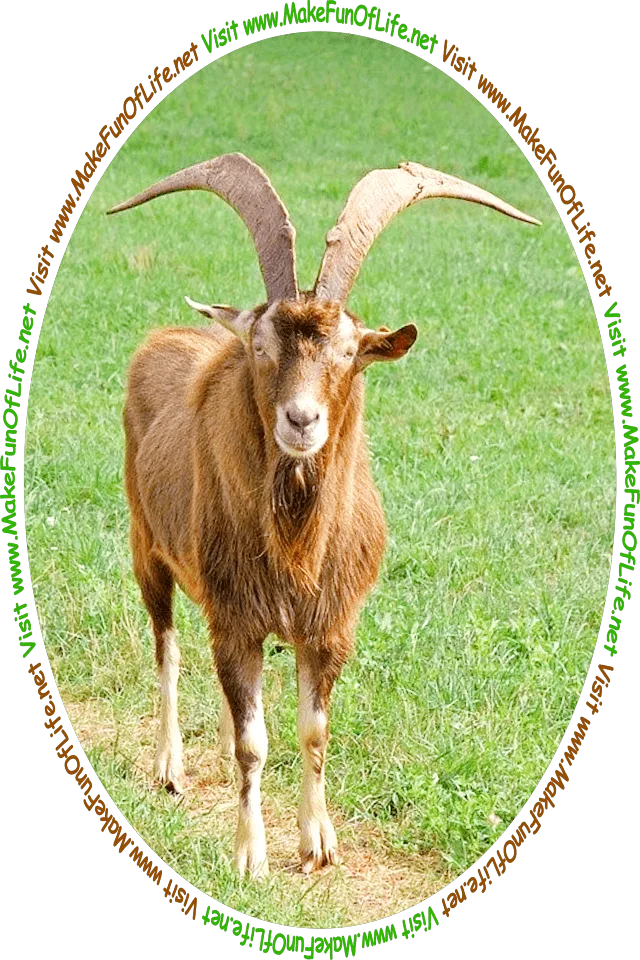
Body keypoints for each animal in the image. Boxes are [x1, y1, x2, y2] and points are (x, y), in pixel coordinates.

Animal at [108, 154, 539, 878]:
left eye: (348, 350)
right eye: (261, 347)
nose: (302, 419)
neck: (296, 545)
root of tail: (162, 339)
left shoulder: (330, 626)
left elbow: (312, 730)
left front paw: (318, 843)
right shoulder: (238, 617)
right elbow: (253, 742)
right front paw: (249, 855)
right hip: (148, 544)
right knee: (166, 646)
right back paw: (170, 767)